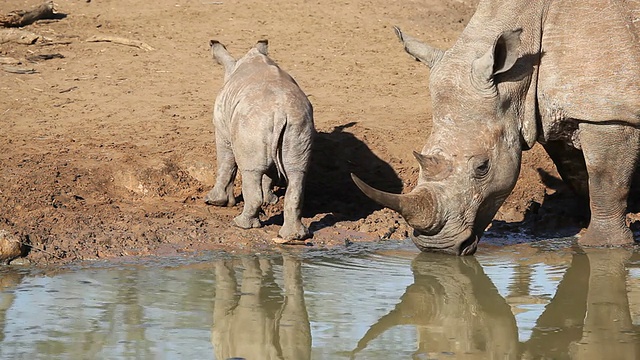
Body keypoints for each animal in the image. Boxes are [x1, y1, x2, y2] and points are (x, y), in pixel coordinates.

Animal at [205, 39, 316, 240]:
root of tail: (280, 112)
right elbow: (269, 173)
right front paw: (269, 200)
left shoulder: (222, 129)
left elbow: (226, 162)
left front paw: (215, 201)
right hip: (297, 121)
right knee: (297, 173)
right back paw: (295, 236)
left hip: (252, 122)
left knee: (250, 171)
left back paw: (241, 224)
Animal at [352, 2, 640, 256]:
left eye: (482, 167)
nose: (436, 248)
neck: (520, 74)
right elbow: (576, 173)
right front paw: (579, 225)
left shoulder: (607, 111)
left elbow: (605, 180)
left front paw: (601, 245)